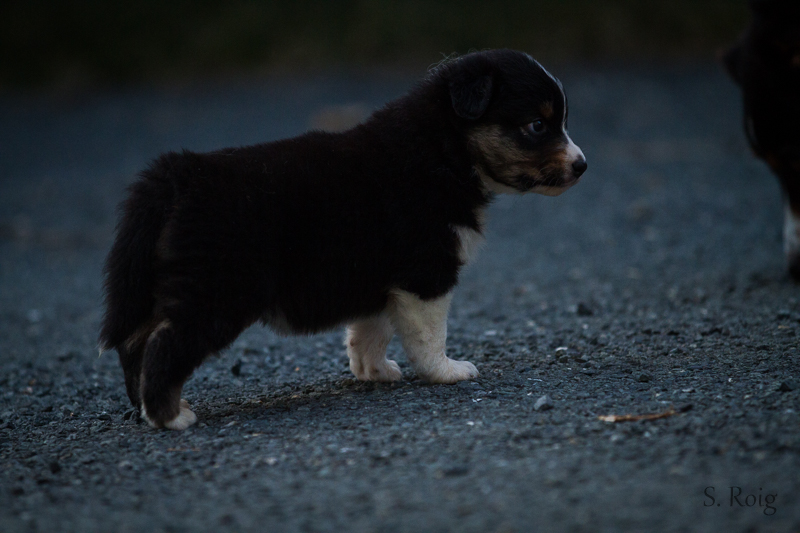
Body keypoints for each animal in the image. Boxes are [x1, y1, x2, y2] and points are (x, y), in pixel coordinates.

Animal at [99, 49, 587, 430]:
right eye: (537, 125)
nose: (583, 165)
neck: (444, 148)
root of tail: (178, 175)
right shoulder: (426, 274)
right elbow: (429, 335)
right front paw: (447, 371)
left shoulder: (381, 278)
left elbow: (371, 328)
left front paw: (373, 371)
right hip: (217, 292)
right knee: (165, 346)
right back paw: (171, 416)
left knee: (135, 344)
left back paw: (145, 409)